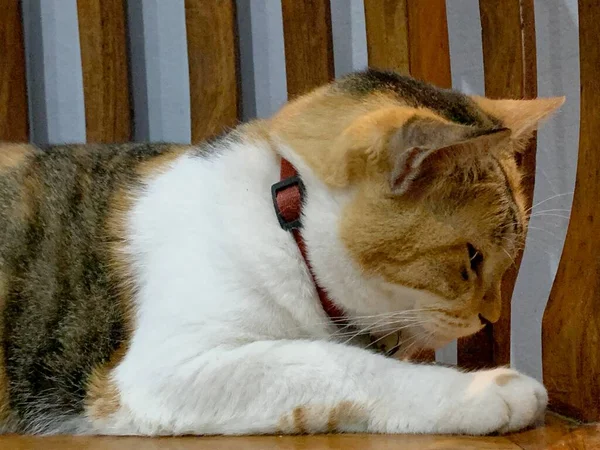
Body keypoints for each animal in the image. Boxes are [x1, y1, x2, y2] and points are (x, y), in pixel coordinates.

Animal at [0, 70, 564, 436]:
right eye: (472, 259)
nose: (492, 316)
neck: (285, 232)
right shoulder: (165, 369)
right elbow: (333, 363)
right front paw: (488, 391)